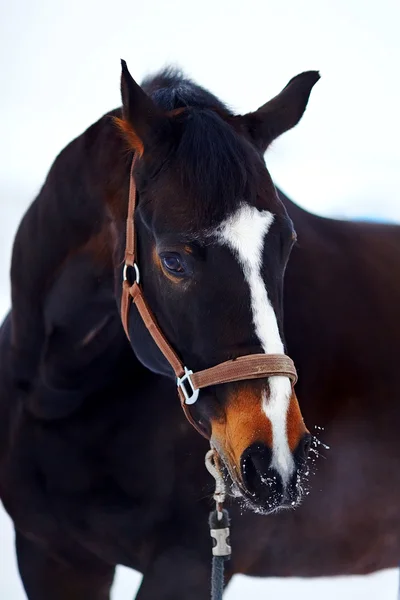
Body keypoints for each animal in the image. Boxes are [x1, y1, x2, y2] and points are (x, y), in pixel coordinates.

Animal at [0, 62, 400, 600]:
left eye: (287, 244)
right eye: (173, 261)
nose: (275, 458)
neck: (59, 394)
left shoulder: (186, 565)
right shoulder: (52, 556)